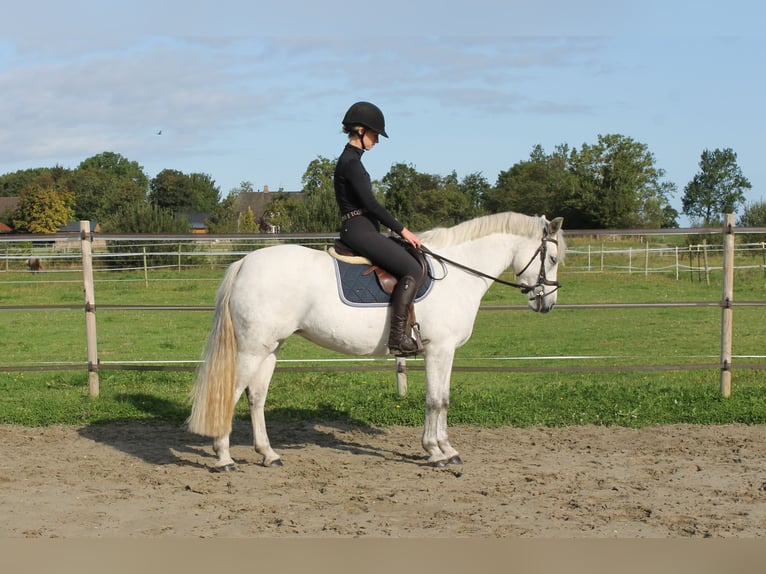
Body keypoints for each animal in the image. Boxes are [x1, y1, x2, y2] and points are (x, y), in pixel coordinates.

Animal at [189, 214, 568, 470]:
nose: (547, 303)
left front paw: (447, 449)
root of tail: (244, 262)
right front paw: (435, 451)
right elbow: (434, 401)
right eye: (551, 258)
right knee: (231, 393)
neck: (459, 273)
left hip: (270, 348)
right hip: (253, 348)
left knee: (256, 397)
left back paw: (268, 454)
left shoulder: (442, 352)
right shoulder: (439, 349)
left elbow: (443, 399)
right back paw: (224, 457)